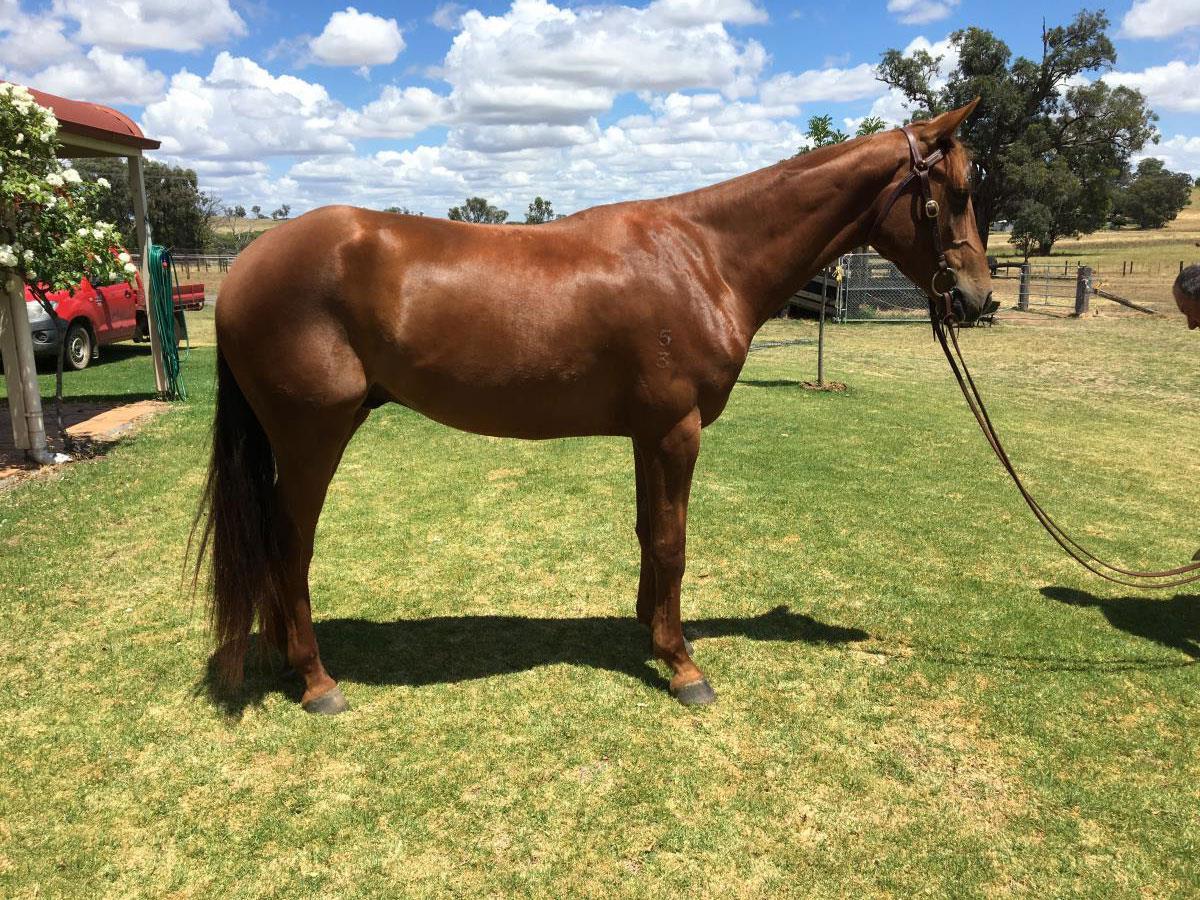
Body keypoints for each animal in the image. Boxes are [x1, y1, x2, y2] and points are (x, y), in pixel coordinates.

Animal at [194, 99, 993, 715]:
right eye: (953, 193)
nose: (978, 299)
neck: (703, 257)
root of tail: (245, 267)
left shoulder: (648, 433)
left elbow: (648, 533)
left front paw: (651, 632)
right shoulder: (676, 431)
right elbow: (672, 541)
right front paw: (683, 665)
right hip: (312, 437)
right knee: (288, 544)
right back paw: (317, 680)